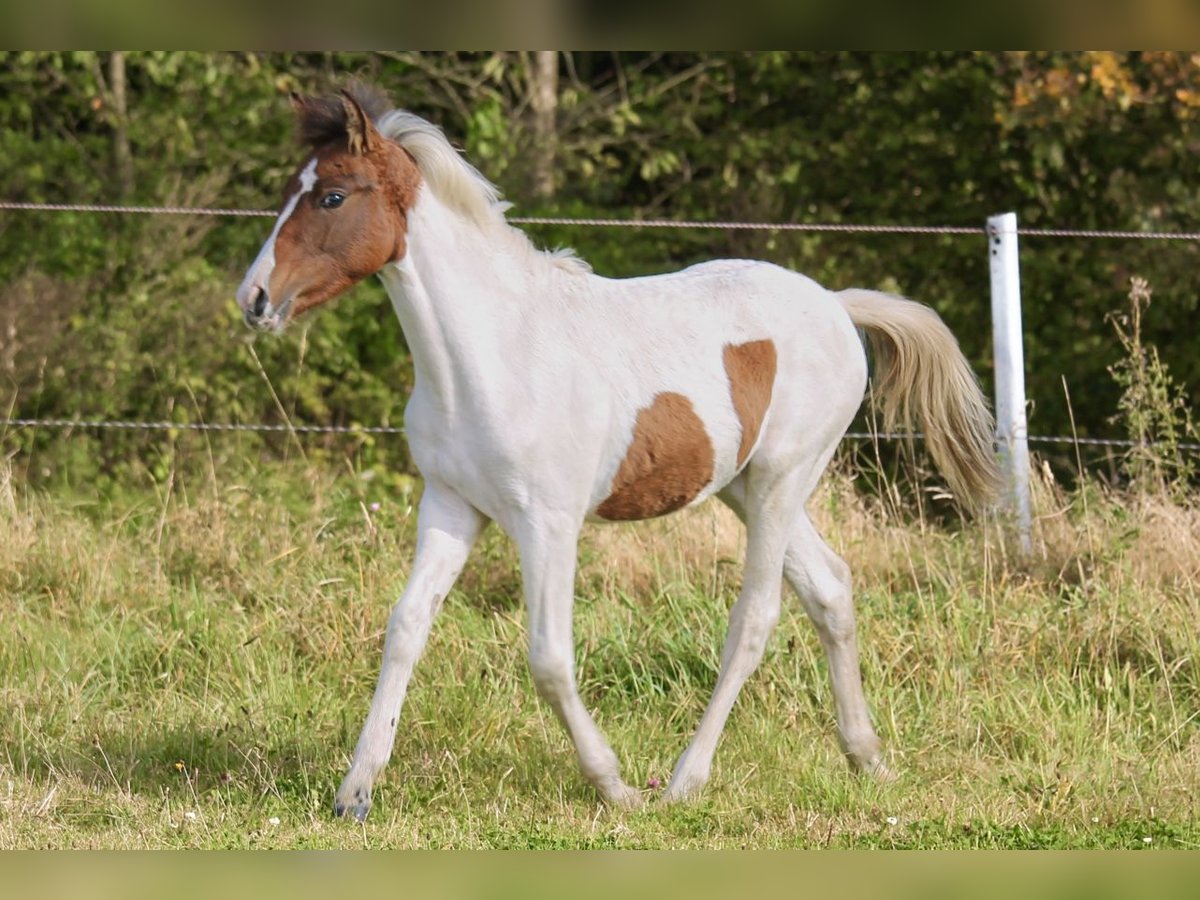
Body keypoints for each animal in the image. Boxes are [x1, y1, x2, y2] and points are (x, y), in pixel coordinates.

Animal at [236, 86, 1003, 825]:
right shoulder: (451, 509)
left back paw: (686, 783)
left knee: (756, 618)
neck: (495, 352)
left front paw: (615, 788)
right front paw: (355, 793)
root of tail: (838, 307)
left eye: (333, 196)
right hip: (746, 488)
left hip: (782, 480)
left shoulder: (548, 524)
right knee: (831, 588)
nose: (254, 298)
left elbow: (548, 659)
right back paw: (866, 758)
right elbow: (404, 629)